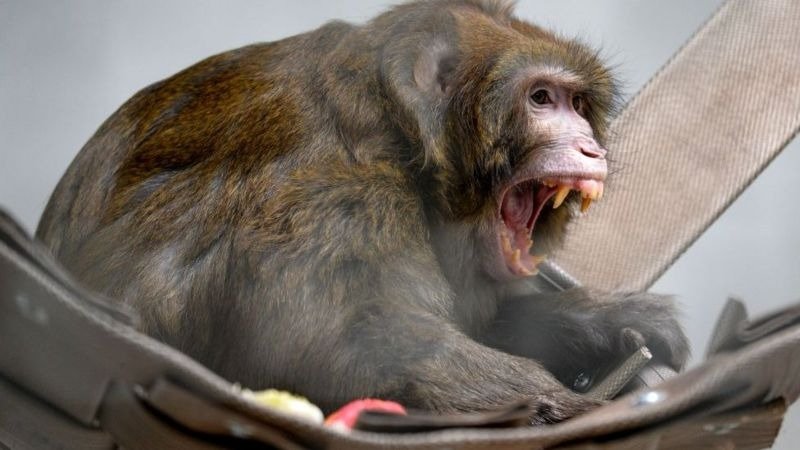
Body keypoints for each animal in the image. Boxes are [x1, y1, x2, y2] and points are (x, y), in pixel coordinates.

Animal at [36, 0, 688, 424]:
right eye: (541, 99)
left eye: (578, 104)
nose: (592, 148)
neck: (395, 135)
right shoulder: (338, 200)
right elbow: (348, 348)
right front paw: (569, 409)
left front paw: (603, 320)